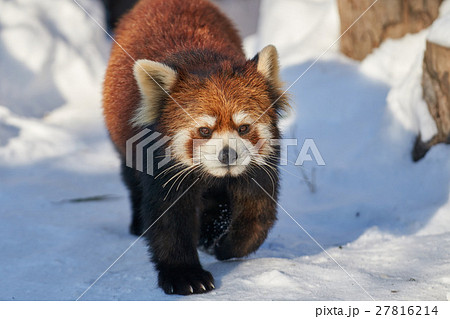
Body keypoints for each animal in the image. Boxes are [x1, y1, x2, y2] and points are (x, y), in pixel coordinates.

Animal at [102, 0, 288, 296]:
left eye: (243, 128)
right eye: (204, 131)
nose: (227, 154)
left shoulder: (257, 167)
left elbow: (258, 211)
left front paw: (225, 245)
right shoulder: (160, 164)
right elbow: (169, 219)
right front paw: (185, 276)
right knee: (131, 179)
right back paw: (139, 225)